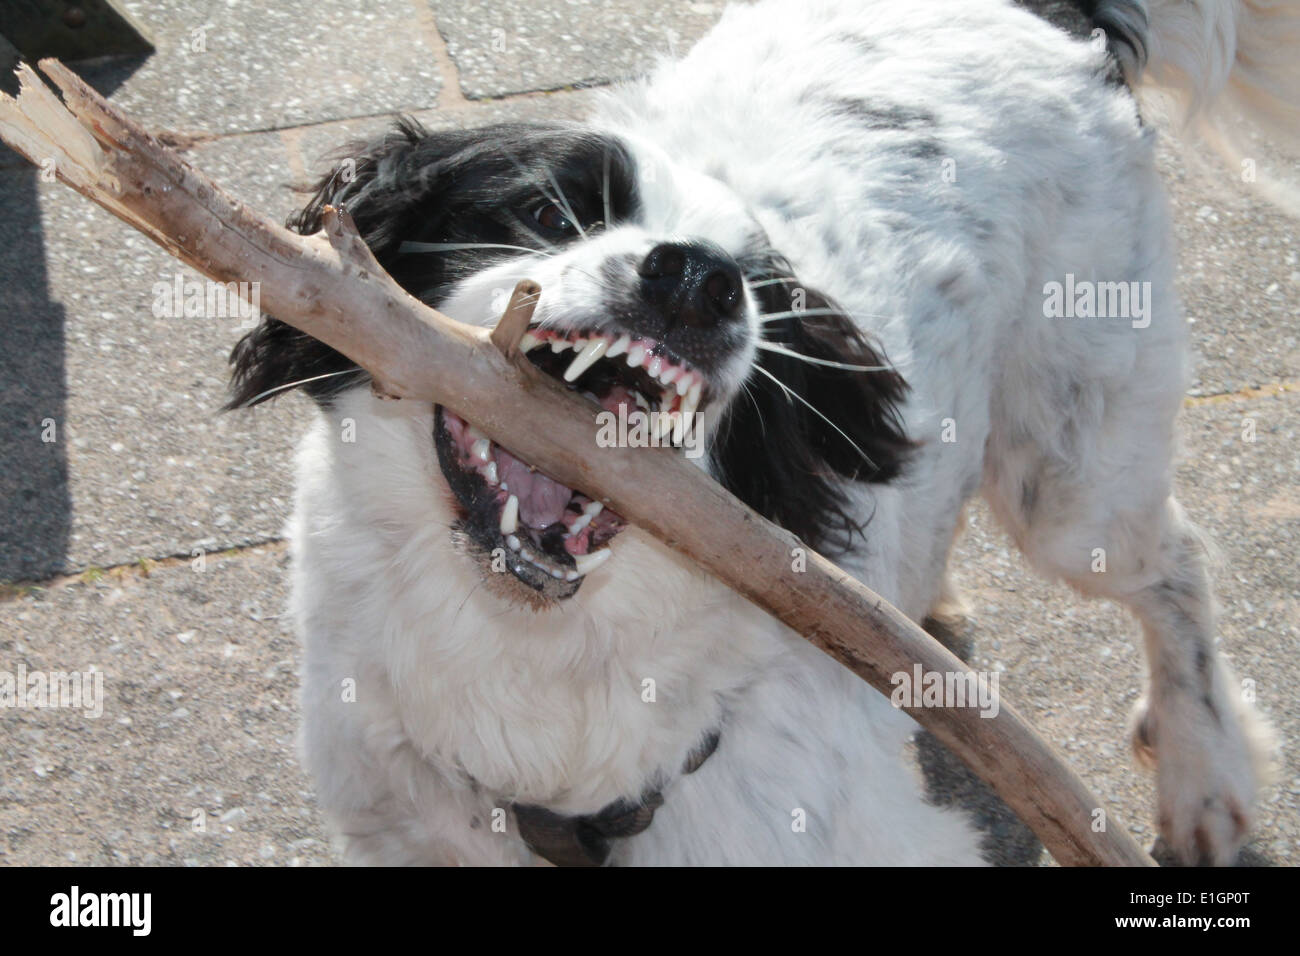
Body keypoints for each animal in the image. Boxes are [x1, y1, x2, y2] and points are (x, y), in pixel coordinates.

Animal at [228, 1, 1284, 868]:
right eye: (540, 210)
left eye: (759, 291)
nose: (698, 279)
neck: (534, 665)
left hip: (1072, 478)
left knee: (1179, 563)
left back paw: (1205, 777)